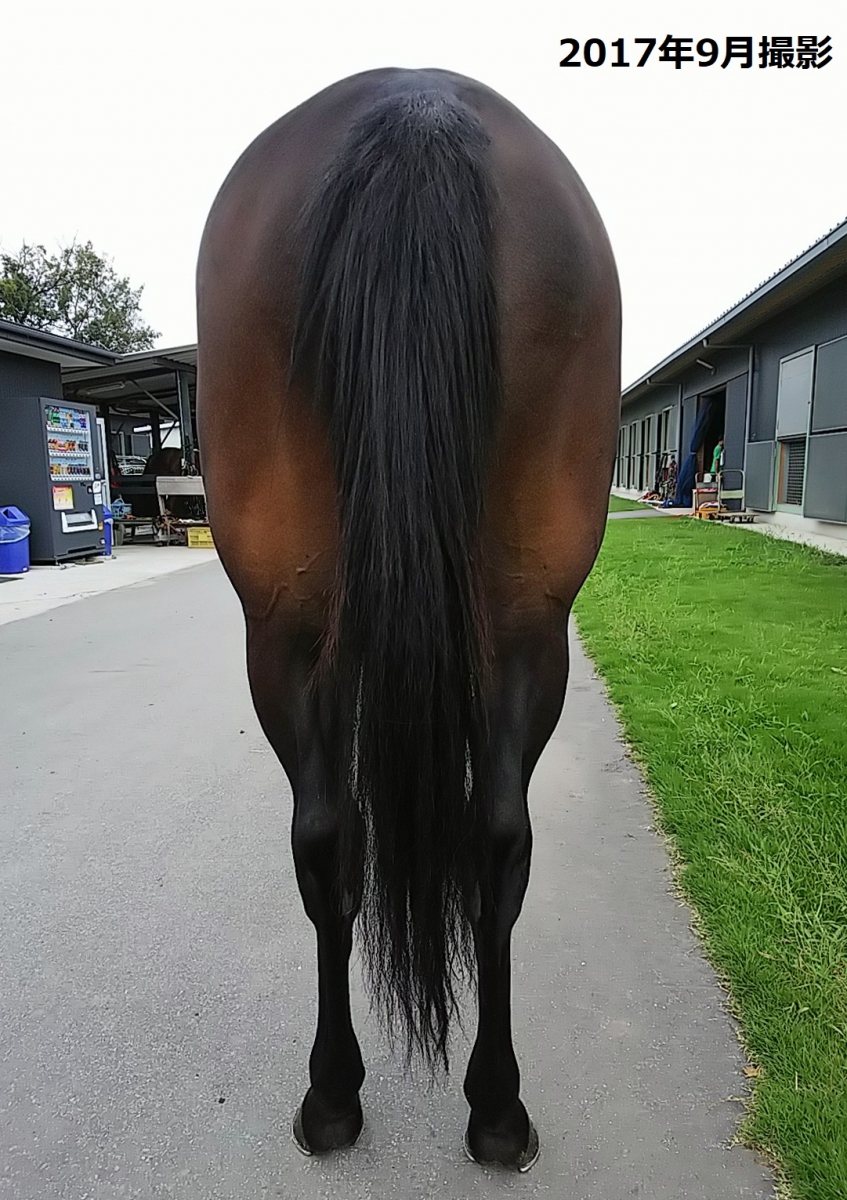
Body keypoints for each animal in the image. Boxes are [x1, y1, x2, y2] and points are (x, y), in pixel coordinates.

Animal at [196, 67, 620, 1170]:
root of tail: (415, 101)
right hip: (518, 623)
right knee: (483, 840)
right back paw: (480, 1107)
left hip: (295, 627)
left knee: (340, 841)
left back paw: (350, 1096)